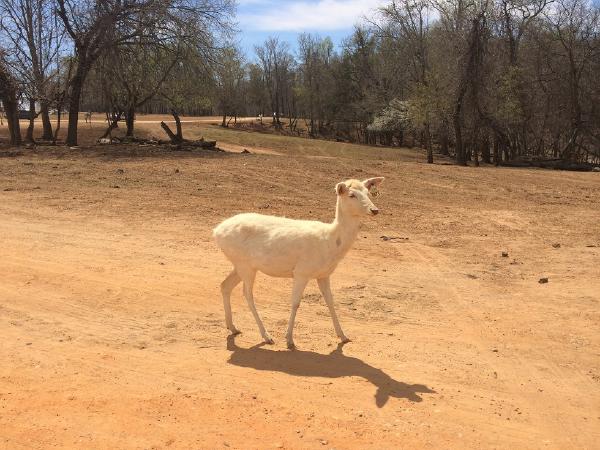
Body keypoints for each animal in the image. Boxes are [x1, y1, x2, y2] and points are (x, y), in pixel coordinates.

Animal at [216, 176, 384, 348]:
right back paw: (267, 336)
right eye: (351, 195)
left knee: (225, 285)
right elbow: (295, 303)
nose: (374, 210)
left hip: (240, 265)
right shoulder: (301, 272)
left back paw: (233, 327)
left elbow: (330, 302)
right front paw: (289, 340)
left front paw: (343, 336)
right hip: (245, 265)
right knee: (247, 294)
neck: (330, 243)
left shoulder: (324, 274)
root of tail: (216, 231)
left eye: (368, 192)